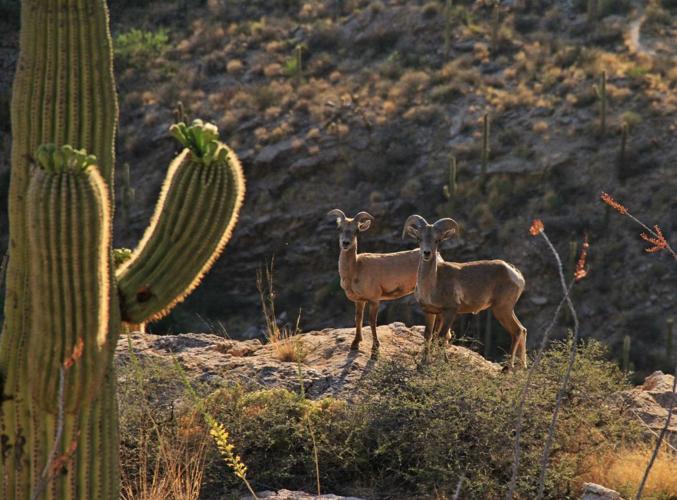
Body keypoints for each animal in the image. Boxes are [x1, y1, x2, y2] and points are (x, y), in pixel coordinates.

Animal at [326, 209, 420, 359]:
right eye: (339, 228)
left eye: (356, 230)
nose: (345, 243)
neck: (355, 269)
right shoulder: (359, 301)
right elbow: (358, 319)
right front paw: (355, 344)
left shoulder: (374, 300)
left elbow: (372, 322)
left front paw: (375, 350)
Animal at [402, 215, 527, 368]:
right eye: (419, 238)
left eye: (437, 240)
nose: (427, 253)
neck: (432, 285)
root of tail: (515, 274)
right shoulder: (430, 312)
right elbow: (429, 336)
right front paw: (423, 364)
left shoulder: (451, 311)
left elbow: (442, 338)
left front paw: (444, 364)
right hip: (507, 309)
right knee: (522, 330)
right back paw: (521, 368)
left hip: (502, 309)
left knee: (516, 331)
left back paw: (507, 369)